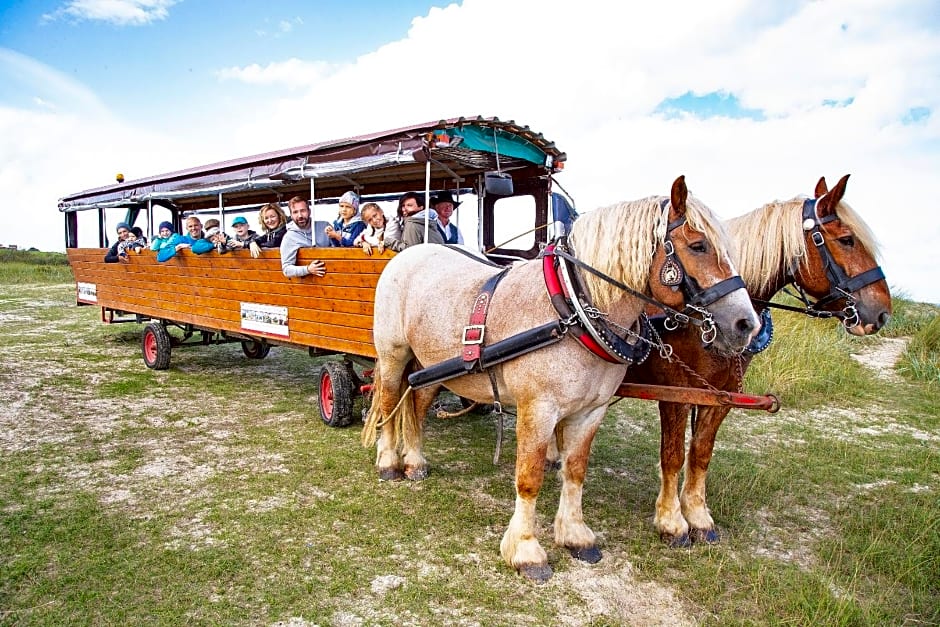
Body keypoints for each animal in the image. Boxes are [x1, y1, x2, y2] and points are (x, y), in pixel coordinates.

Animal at [364, 177, 760, 584]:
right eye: (698, 245)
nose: (747, 324)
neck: (573, 310)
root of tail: (408, 255)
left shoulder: (591, 411)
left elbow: (575, 471)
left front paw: (575, 536)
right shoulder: (538, 410)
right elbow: (529, 477)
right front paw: (526, 551)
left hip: (430, 365)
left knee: (416, 405)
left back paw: (415, 461)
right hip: (394, 355)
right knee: (389, 402)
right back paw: (389, 462)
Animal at [624, 174, 888, 548]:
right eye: (847, 240)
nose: (882, 312)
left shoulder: (721, 396)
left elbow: (701, 453)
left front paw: (699, 517)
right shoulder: (676, 393)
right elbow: (673, 455)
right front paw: (671, 522)